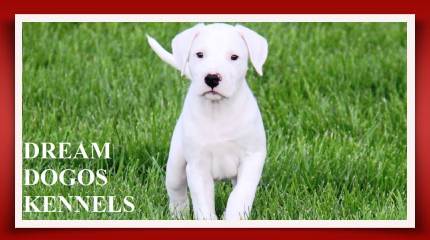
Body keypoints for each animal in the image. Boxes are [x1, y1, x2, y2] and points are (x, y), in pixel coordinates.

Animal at [148, 23, 268, 219]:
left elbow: (240, 195)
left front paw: (233, 217)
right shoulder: (197, 166)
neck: (218, 111)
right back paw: (179, 215)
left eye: (234, 57)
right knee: (177, 191)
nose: (211, 78)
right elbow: (203, 202)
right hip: (175, 165)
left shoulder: (252, 158)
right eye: (199, 54)